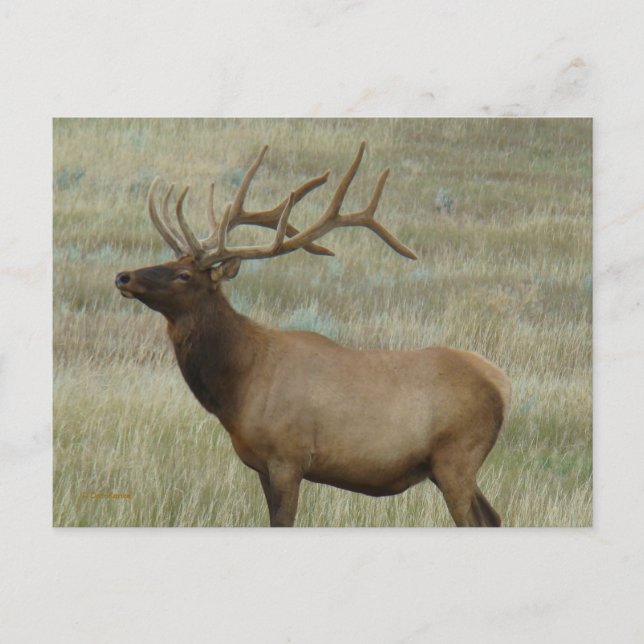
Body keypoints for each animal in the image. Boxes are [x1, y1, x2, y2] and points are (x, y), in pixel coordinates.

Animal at [115, 142, 511, 527]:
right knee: (492, 517)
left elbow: (283, 522)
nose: (123, 276)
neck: (239, 387)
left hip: (457, 456)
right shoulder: (261, 464)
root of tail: (503, 385)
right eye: (169, 261)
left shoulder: (288, 457)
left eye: (184, 275)